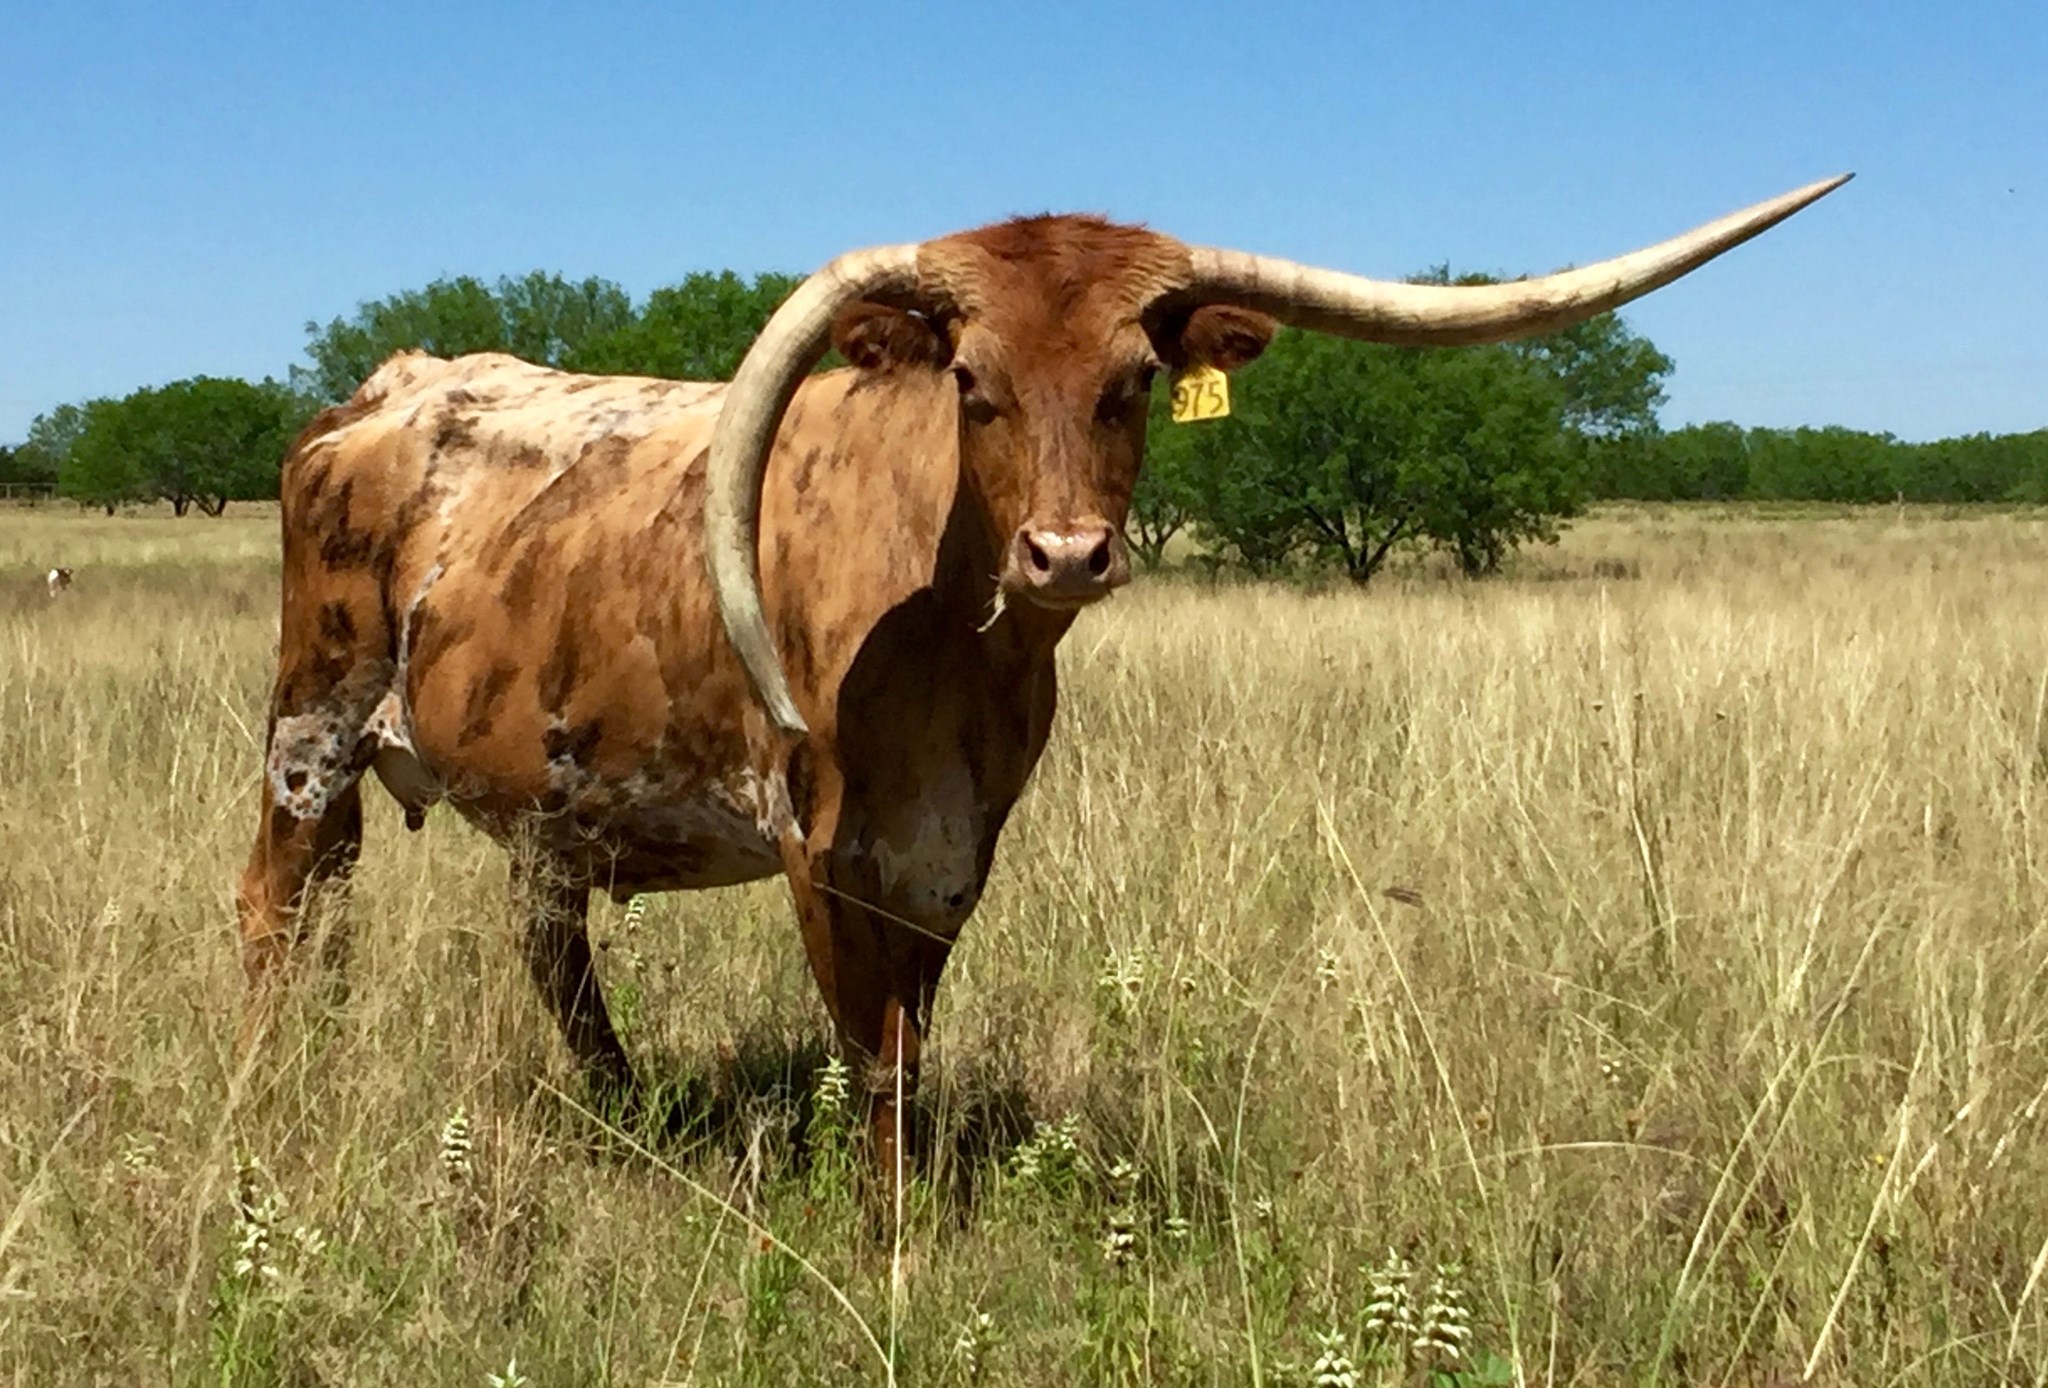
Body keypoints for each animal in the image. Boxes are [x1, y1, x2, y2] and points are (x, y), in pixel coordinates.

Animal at [238, 175, 1848, 1176]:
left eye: (1135, 380)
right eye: (972, 382)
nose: (1066, 553)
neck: (950, 646)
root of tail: (386, 387)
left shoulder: (953, 856)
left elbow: (913, 1043)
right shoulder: (819, 844)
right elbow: (875, 1061)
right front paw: (886, 1240)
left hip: (550, 804)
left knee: (551, 950)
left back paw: (631, 1112)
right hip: (310, 727)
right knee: (281, 907)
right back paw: (283, 1089)